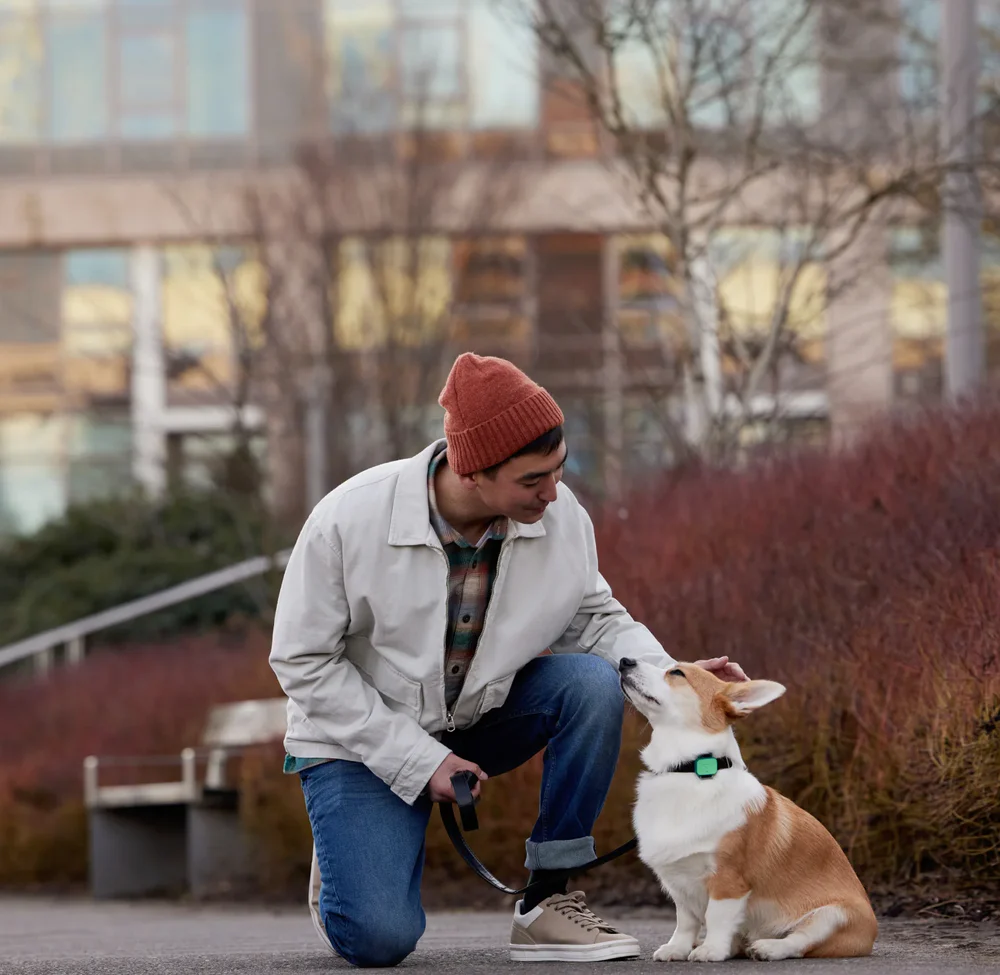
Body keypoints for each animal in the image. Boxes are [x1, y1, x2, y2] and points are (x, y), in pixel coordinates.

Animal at [616, 656, 876, 960]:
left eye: (677, 673)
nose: (625, 661)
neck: (690, 770)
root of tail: (872, 933)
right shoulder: (681, 885)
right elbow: (686, 920)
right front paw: (677, 948)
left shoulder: (728, 881)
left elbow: (716, 917)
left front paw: (711, 950)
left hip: (833, 915)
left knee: (799, 941)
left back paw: (768, 947)